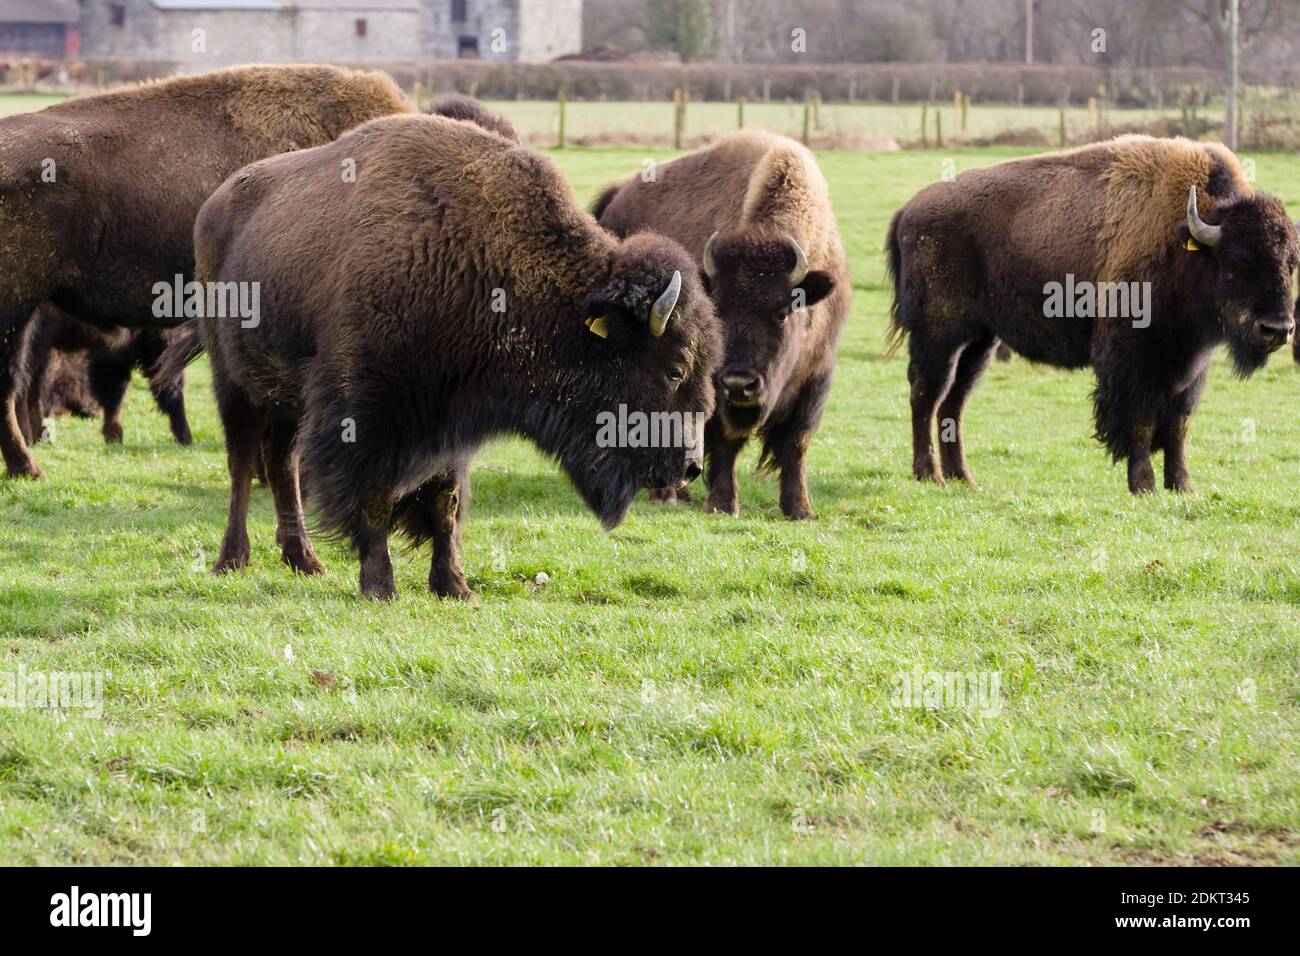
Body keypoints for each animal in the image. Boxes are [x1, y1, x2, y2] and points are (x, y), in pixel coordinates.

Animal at [161, 111, 722, 600]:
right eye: (675, 368)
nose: (692, 465)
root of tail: (213, 208)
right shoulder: (368, 415)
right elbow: (375, 498)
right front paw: (380, 586)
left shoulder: (450, 421)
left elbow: (445, 501)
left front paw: (455, 586)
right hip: (234, 382)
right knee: (242, 463)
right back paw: (232, 559)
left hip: (285, 400)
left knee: (280, 465)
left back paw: (305, 561)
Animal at [592, 130, 852, 520]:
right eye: (720, 308)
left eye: (782, 311)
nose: (740, 383)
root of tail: (616, 198)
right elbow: (726, 439)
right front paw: (723, 504)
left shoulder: (816, 378)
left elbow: (796, 443)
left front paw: (800, 510)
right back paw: (667, 493)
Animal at [883, 135, 1300, 496]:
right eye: (1236, 262)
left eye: (1291, 263)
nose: (1278, 329)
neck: (1187, 243)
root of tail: (907, 211)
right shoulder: (1131, 358)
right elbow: (1141, 422)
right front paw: (1143, 485)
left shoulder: (1189, 364)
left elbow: (1179, 424)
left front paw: (1182, 485)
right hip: (938, 335)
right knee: (926, 395)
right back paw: (929, 475)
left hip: (980, 342)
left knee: (954, 401)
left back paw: (963, 477)